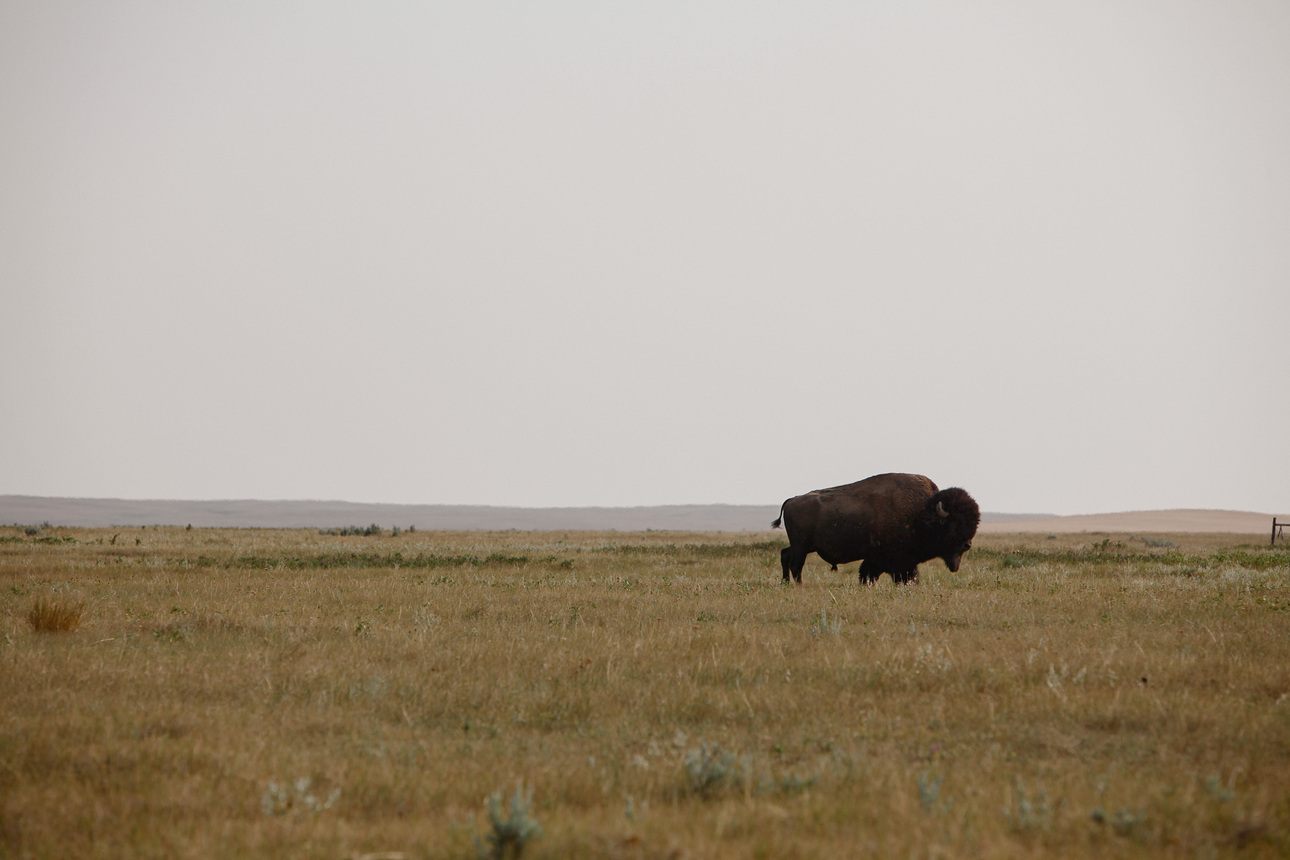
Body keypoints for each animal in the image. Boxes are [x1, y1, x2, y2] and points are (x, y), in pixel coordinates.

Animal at [768, 471, 980, 585]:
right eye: (955, 523)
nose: (967, 544)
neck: (922, 512)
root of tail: (792, 500)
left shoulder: (877, 559)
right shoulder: (897, 560)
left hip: (806, 546)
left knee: (785, 555)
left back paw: (785, 583)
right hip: (801, 546)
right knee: (796, 564)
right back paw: (798, 585)